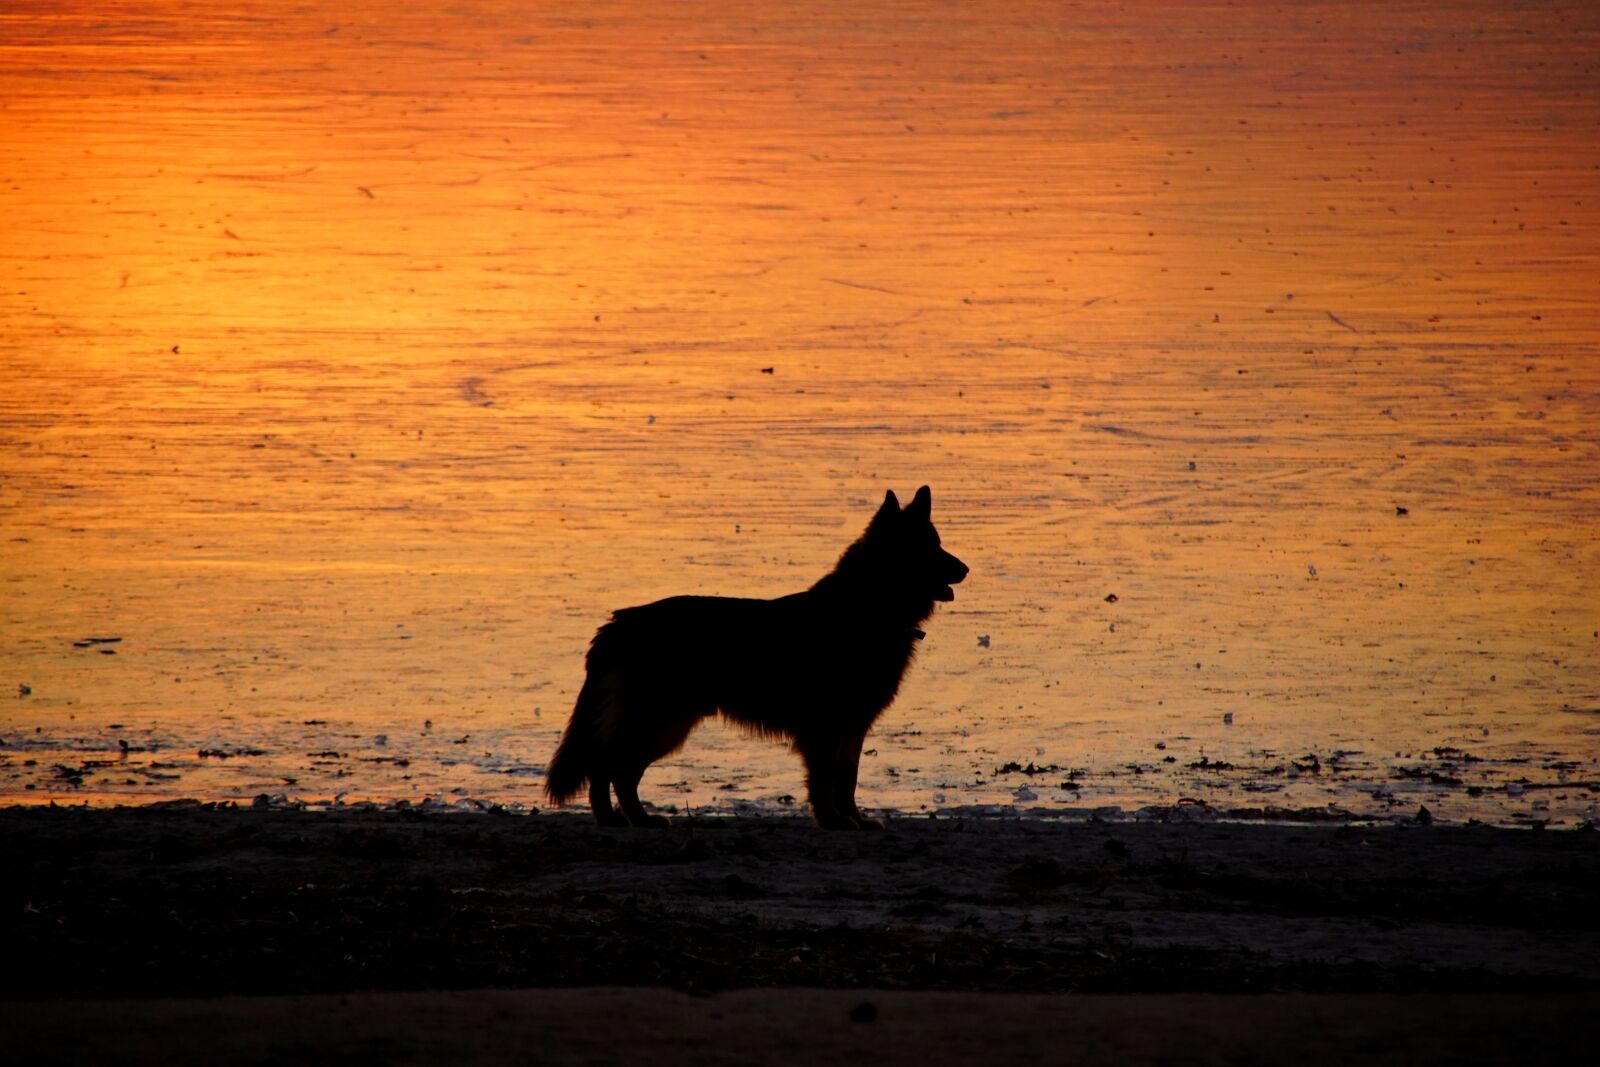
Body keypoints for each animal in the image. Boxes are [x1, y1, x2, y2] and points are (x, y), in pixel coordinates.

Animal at [544, 489, 966, 831]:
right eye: (929, 548)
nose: (965, 569)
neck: (868, 606)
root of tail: (618, 623)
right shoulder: (827, 728)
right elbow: (825, 781)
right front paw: (832, 822)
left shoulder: (853, 728)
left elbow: (847, 780)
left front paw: (855, 821)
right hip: (661, 721)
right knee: (608, 765)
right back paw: (623, 818)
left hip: (667, 724)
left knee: (616, 768)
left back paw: (628, 818)